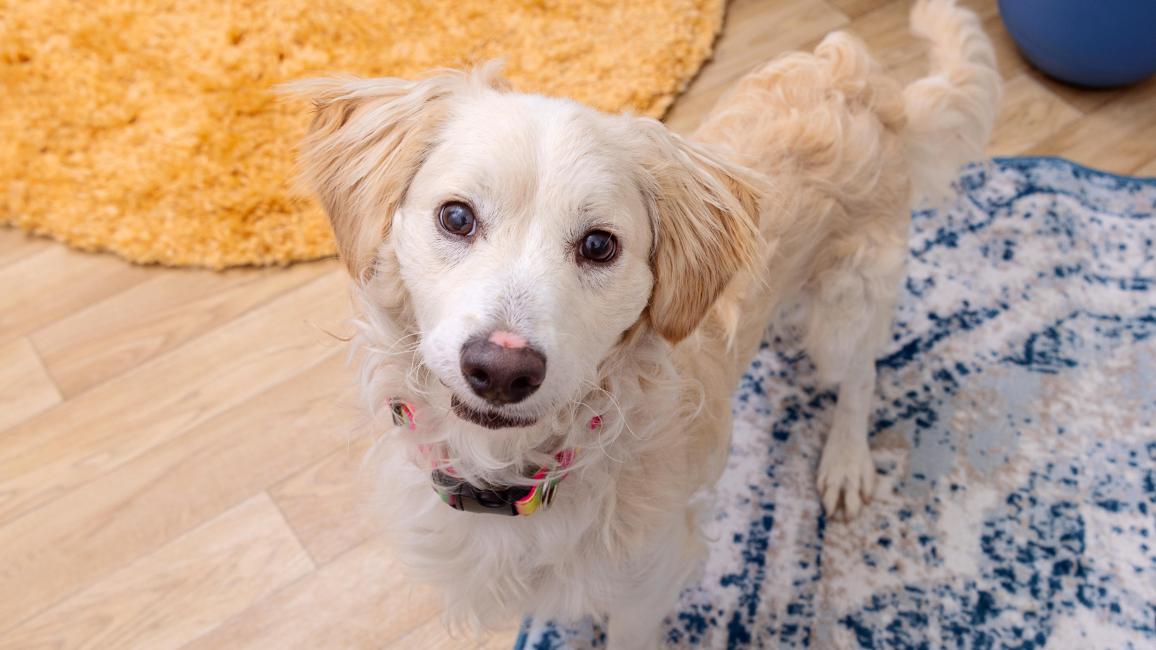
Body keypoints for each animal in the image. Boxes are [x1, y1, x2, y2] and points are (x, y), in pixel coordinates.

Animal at [286, 1, 994, 643]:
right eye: (456, 217)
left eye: (600, 245)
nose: (502, 370)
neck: (514, 474)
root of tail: (858, 76)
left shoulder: (646, 583)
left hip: (849, 305)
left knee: (861, 376)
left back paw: (846, 462)